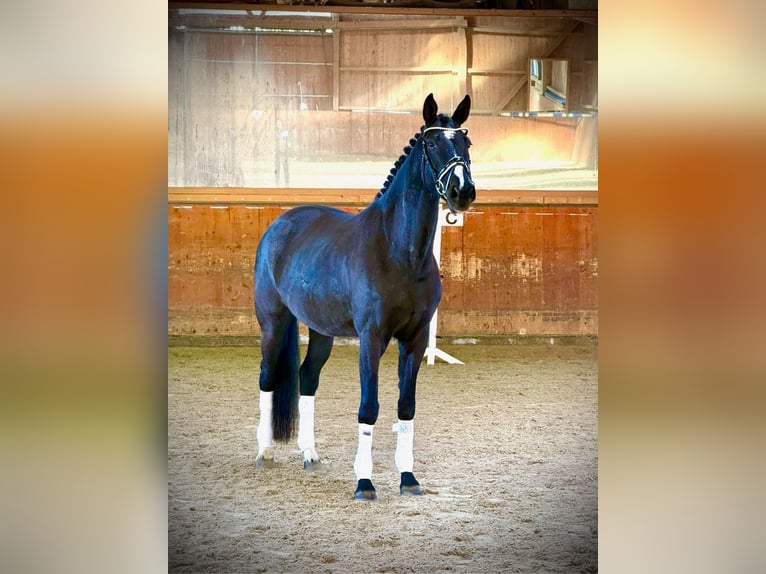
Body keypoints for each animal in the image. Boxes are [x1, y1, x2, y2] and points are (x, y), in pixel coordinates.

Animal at [253, 93, 475, 500]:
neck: (399, 252)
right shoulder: (371, 338)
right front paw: (364, 482)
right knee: (267, 376)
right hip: (273, 323)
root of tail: (281, 224)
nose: (463, 192)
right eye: (433, 143)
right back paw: (263, 452)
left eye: (466, 143)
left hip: (321, 330)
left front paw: (408, 477)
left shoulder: (415, 338)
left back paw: (310, 454)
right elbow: (368, 407)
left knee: (307, 377)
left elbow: (406, 406)